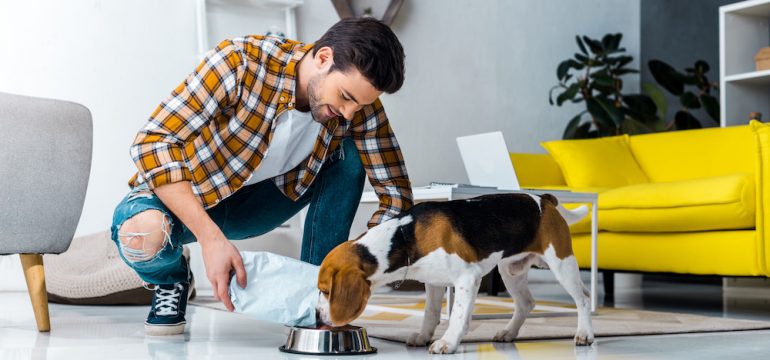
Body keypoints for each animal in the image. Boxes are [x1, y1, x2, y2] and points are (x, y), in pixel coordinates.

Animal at [316, 194, 592, 354]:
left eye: (326, 291)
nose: (317, 316)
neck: (405, 236)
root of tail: (544, 199)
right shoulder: (433, 282)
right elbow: (430, 314)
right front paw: (424, 336)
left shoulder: (468, 278)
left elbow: (458, 316)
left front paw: (447, 342)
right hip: (510, 270)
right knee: (527, 303)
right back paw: (508, 333)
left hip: (561, 263)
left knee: (583, 299)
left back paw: (584, 334)